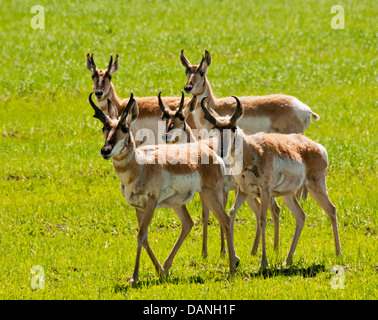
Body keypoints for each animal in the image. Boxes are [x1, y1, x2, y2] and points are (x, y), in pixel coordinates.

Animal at [87, 91, 238, 282]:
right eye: (104, 128)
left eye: (125, 128)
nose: (105, 150)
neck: (141, 165)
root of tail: (211, 152)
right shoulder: (138, 207)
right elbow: (144, 237)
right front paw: (159, 271)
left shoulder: (151, 203)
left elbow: (141, 235)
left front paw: (134, 276)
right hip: (179, 203)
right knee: (188, 223)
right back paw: (167, 267)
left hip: (210, 195)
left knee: (225, 220)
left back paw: (232, 267)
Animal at [157, 91, 280, 256]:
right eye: (164, 117)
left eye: (181, 117)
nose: (166, 136)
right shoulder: (203, 192)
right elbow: (205, 215)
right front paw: (204, 252)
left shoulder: (223, 189)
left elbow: (222, 215)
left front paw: (223, 251)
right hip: (248, 193)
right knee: (259, 209)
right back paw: (254, 251)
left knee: (274, 209)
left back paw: (275, 249)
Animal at [201, 96, 342, 268]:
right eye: (214, 128)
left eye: (233, 128)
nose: (221, 151)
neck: (252, 151)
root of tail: (318, 147)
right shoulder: (243, 191)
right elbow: (232, 213)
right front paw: (235, 257)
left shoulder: (265, 191)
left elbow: (262, 220)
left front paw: (263, 263)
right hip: (287, 195)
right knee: (301, 216)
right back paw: (288, 259)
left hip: (316, 187)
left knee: (331, 210)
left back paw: (338, 254)